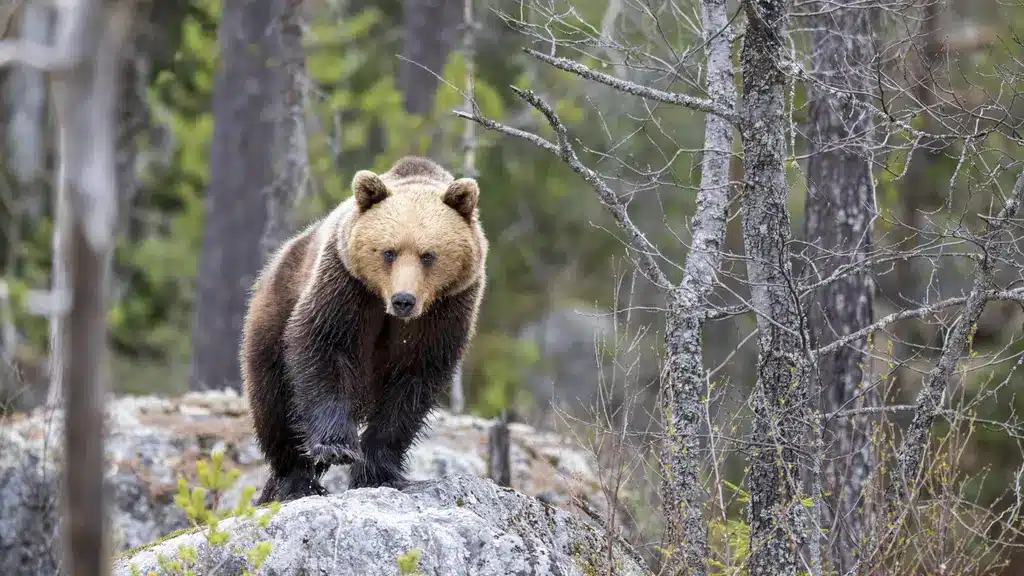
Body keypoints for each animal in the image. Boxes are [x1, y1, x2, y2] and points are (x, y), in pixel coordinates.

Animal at [240, 156, 488, 505]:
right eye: (389, 252)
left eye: (428, 255)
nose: (404, 300)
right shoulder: (347, 287)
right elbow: (325, 347)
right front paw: (336, 447)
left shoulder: (444, 311)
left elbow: (412, 385)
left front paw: (377, 471)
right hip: (273, 316)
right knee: (275, 404)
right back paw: (295, 481)